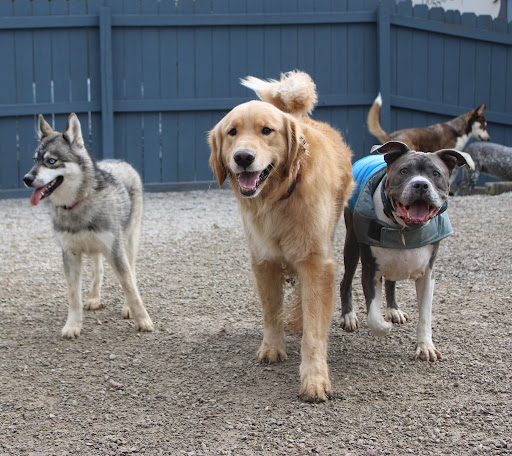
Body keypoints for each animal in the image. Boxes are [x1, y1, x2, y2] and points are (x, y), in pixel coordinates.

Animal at [23, 112, 154, 336]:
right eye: (34, 160)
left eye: (51, 161)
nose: (26, 178)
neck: (77, 204)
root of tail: (119, 160)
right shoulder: (70, 254)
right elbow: (73, 296)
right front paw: (72, 325)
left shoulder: (115, 250)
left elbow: (130, 287)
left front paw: (143, 319)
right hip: (95, 248)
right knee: (98, 271)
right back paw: (94, 298)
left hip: (128, 241)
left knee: (132, 273)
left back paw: (127, 307)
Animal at [338, 141, 474, 362]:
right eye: (404, 171)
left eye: (435, 174)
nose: (421, 185)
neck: (403, 229)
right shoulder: (370, 270)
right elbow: (373, 315)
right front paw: (383, 326)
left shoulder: (428, 274)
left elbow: (425, 315)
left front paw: (426, 346)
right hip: (351, 245)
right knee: (346, 281)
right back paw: (348, 317)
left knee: (391, 282)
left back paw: (394, 310)